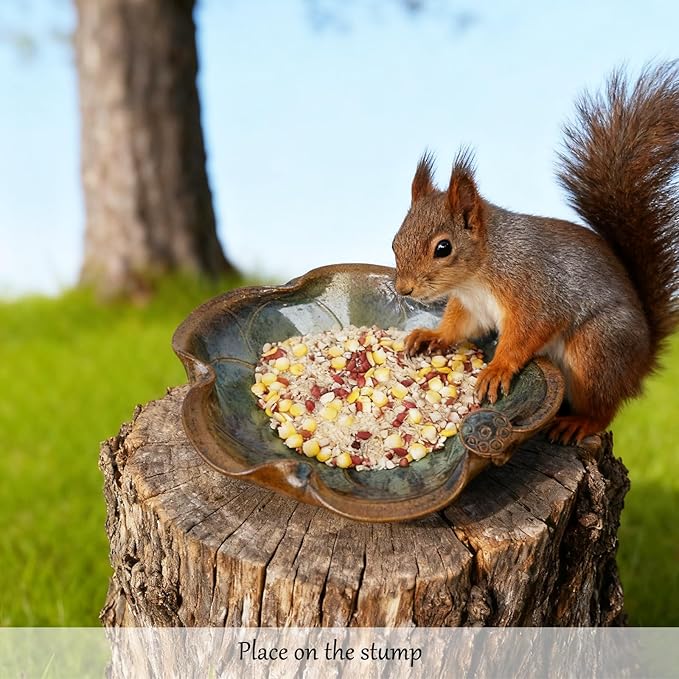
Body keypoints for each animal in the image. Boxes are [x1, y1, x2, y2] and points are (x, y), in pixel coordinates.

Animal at [392, 62, 679, 443]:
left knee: (603, 408)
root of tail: (642, 361)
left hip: (597, 347)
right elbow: (458, 327)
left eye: (443, 248)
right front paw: (432, 336)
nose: (403, 289)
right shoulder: (471, 307)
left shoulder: (535, 291)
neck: (480, 272)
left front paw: (498, 368)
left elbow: (526, 334)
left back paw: (579, 422)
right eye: (395, 241)